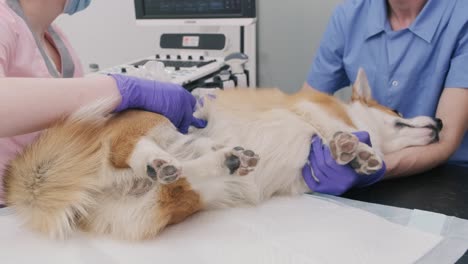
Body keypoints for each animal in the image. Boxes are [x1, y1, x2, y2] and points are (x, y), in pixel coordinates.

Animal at [3, 69, 442, 240]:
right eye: (397, 110)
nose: (439, 122)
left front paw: (353, 159)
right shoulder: (310, 111)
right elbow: (333, 130)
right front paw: (355, 148)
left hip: (179, 198)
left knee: (183, 176)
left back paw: (227, 159)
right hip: (152, 120)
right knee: (133, 149)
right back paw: (157, 160)